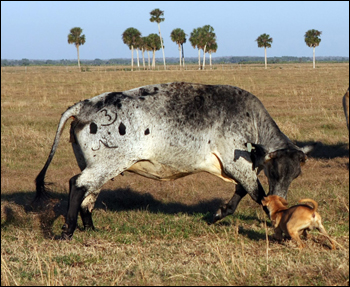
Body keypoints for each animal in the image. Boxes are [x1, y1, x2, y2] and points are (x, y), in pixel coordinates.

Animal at [34, 82, 312, 241]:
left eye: (295, 174)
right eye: (274, 172)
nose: (282, 197)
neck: (251, 120)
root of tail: (84, 106)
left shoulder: (240, 169)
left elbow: (243, 192)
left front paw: (219, 213)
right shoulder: (238, 165)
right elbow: (259, 196)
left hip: (98, 166)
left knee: (88, 195)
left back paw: (90, 228)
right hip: (107, 165)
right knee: (77, 185)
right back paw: (67, 231)